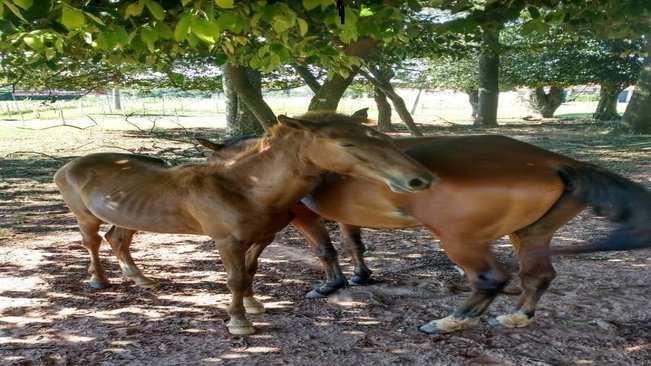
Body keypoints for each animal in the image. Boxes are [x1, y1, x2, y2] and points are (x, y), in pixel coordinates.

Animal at [53, 111, 436, 334]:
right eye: (346, 143)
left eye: (379, 137)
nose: (420, 179)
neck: (244, 187)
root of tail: (69, 165)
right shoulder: (227, 242)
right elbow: (235, 279)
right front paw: (239, 322)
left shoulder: (263, 236)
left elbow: (250, 273)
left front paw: (253, 304)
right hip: (84, 216)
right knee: (92, 243)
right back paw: (98, 281)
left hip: (127, 215)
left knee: (119, 239)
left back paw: (141, 279)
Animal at [202, 120, 651, 334]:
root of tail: (554, 162)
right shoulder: (347, 217)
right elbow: (354, 245)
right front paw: (361, 277)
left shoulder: (305, 217)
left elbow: (325, 250)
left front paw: (331, 285)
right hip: (531, 235)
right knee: (537, 276)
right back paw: (515, 318)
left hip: (461, 241)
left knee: (490, 279)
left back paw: (451, 322)